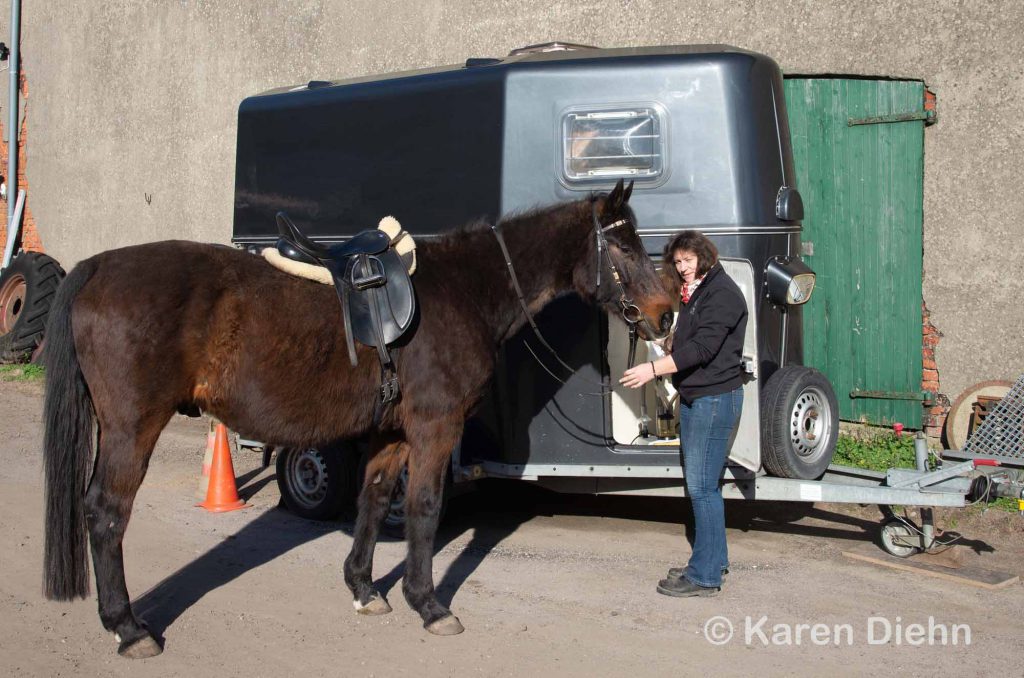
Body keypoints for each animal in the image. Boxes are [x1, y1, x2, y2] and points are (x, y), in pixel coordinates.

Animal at [44, 180, 675, 659]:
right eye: (623, 250)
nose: (666, 314)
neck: (465, 291)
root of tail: (97, 267)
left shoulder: (390, 433)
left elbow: (372, 501)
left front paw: (365, 588)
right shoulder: (434, 427)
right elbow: (424, 509)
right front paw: (429, 603)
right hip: (132, 428)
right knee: (106, 513)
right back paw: (128, 628)